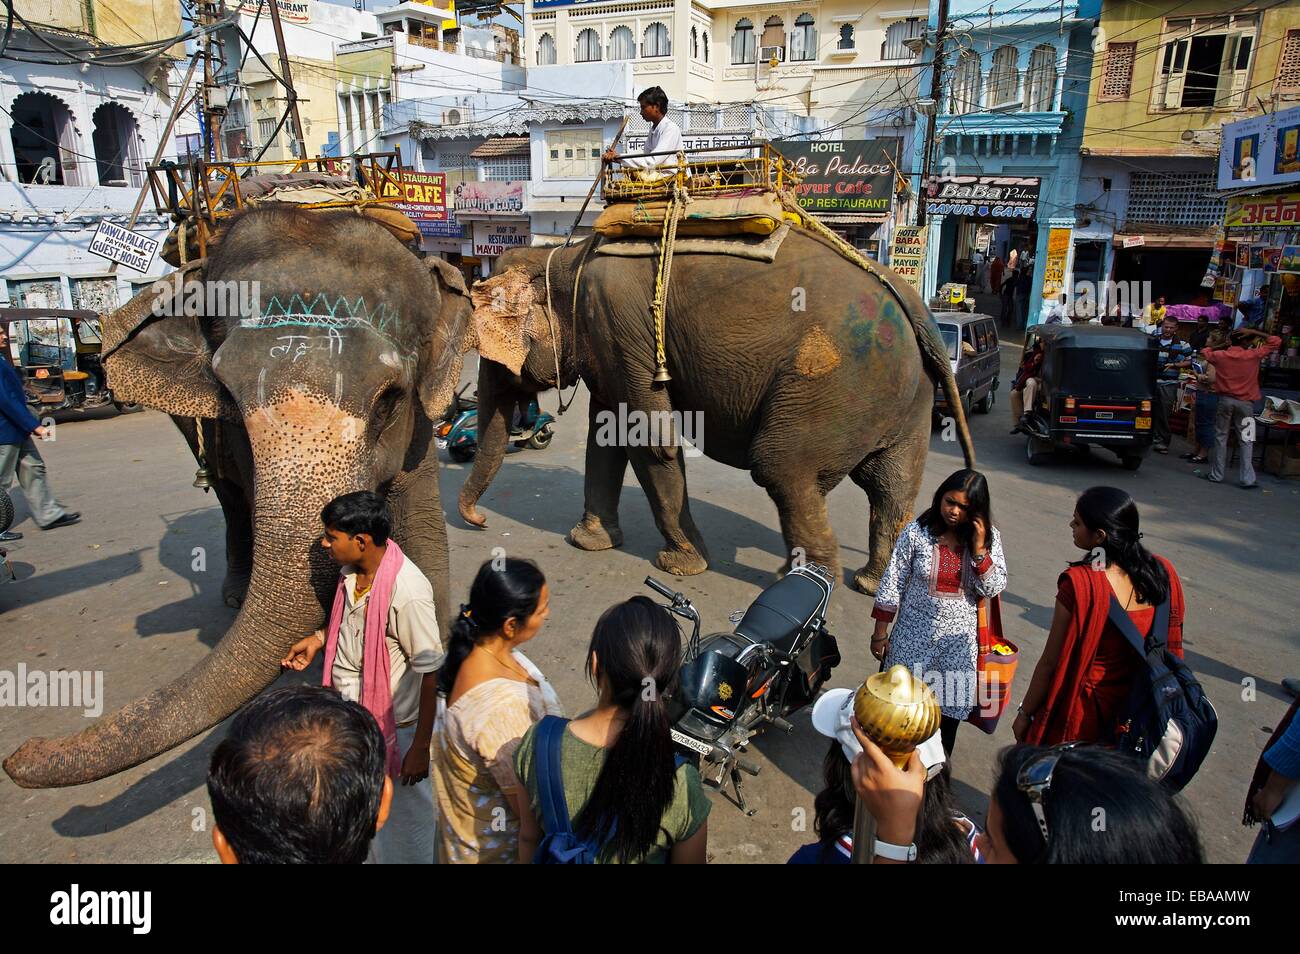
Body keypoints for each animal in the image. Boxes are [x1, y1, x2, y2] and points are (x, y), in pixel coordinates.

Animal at [4, 204, 473, 788]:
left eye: (389, 402)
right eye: (227, 397)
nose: (17, 755)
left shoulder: (421, 427)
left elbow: (423, 525)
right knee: (229, 500)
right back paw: (233, 593)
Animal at [456, 226, 975, 594]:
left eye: (491, 353)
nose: (479, 523)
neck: (566, 257)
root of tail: (912, 304)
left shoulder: (618, 323)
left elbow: (650, 439)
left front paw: (683, 565)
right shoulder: (608, 346)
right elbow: (604, 438)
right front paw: (590, 541)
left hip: (831, 383)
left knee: (782, 468)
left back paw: (807, 583)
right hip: (903, 398)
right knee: (891, 486)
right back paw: (871, 583)